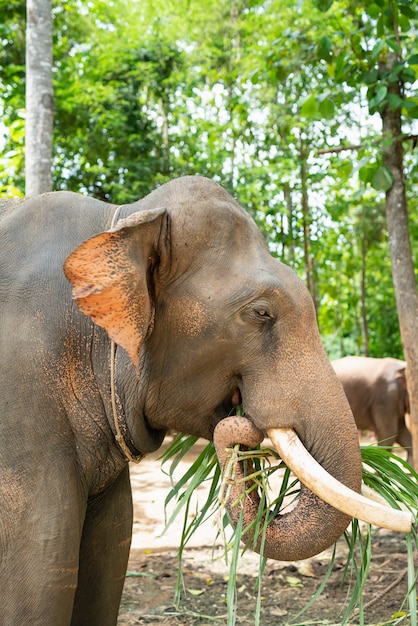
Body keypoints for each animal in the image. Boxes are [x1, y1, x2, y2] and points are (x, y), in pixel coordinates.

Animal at [0, 177, 398, 624]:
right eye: (262, 313)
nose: (242, 428)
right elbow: (39, 575)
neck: (120, 220)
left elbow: (109, 558)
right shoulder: (23, 404)